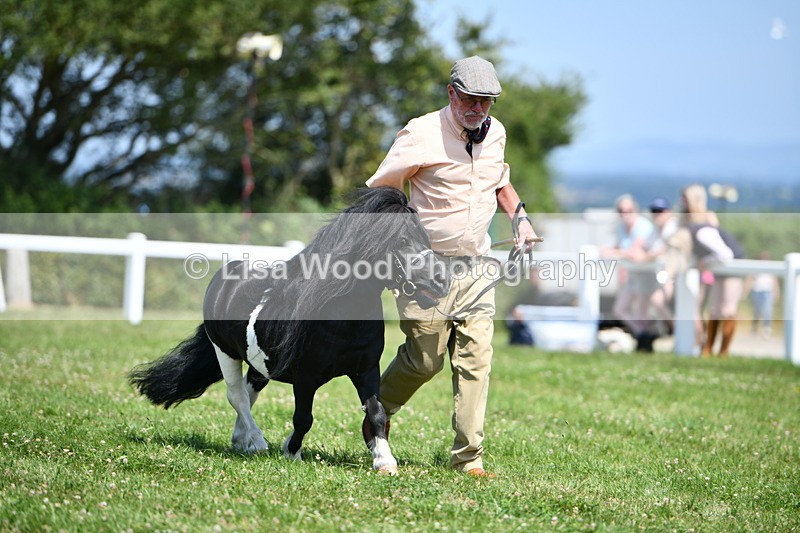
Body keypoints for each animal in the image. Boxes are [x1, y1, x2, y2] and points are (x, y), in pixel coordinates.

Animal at [128, 187, 449, 474]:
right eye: (402, 239)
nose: (441, 281)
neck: (341, 315)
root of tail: (223, 279)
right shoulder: (306, 376)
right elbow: (303, 418)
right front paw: (291, 452)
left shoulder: (366, 369)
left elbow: (377, 413)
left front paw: (384, 461)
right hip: (224, 351)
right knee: (237, 396)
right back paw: (257, 441)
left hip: (260, 364)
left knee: (249, 391)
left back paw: (242, 440)